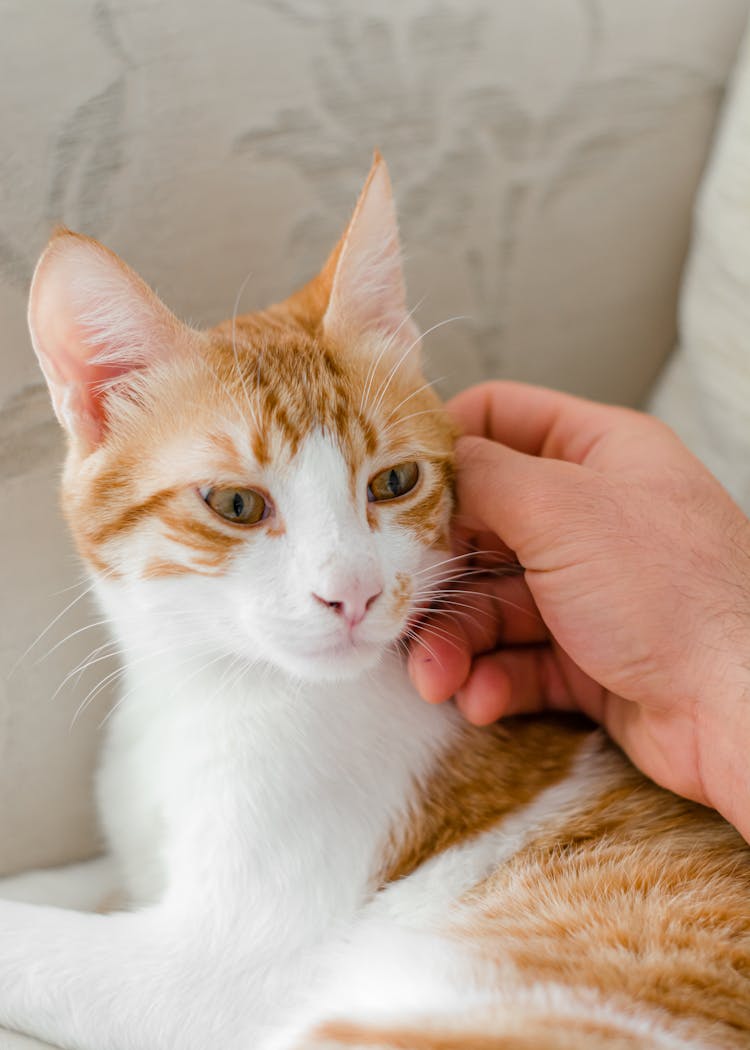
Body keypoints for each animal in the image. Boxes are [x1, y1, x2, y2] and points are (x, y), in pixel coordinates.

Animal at [0, 150, 743, 1050]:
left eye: (393, 482)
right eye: (236, 503)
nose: (350, 593)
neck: (209, 690)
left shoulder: (201, 969)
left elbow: (30, 936)